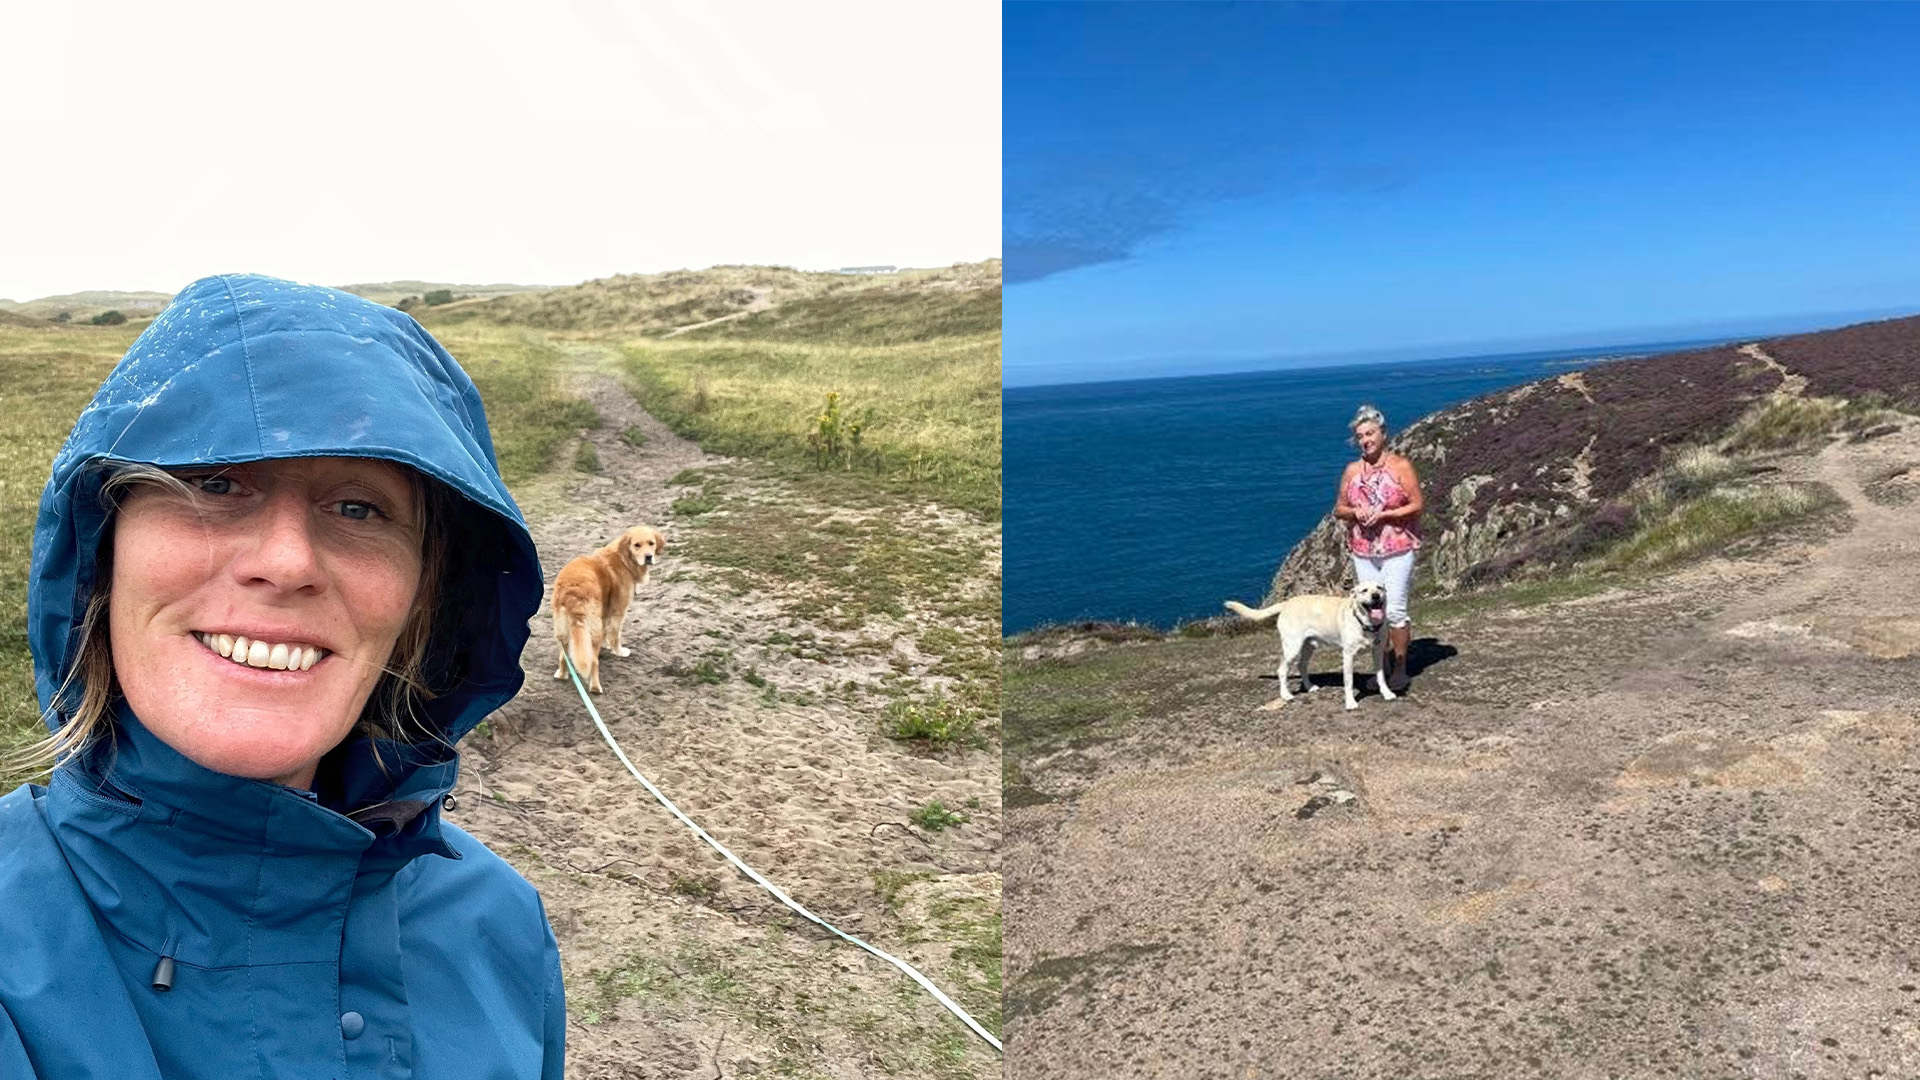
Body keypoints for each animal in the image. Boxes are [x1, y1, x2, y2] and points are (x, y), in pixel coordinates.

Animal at [552, 526, 664, 691]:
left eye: (651, 543)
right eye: (637, 545)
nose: (648, 557)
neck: (624, 559)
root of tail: (573, 591)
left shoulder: (605, 611)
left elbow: (606, 630)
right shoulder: (619, 611)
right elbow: (615, 635)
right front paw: (619, 652)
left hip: (563, 630)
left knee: (563, 656)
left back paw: (561, 675)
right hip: (591, 629)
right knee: (593, 661)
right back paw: (595, 687)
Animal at [1228, 580, 1397, 707]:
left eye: (1379, 588)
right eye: (1364, 591)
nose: (1376, 596)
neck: (1366, 624)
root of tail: (1287, 603)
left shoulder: (1377, 652)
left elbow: (1381, 676)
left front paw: (1387, 693)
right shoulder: (1348, 656)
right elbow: (1348, 682)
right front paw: (1350, 703)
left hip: (1308, 646)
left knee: (1301, 665)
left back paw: (1309, 687)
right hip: (1292, 648)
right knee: (1282, 670)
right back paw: (1286, 695)